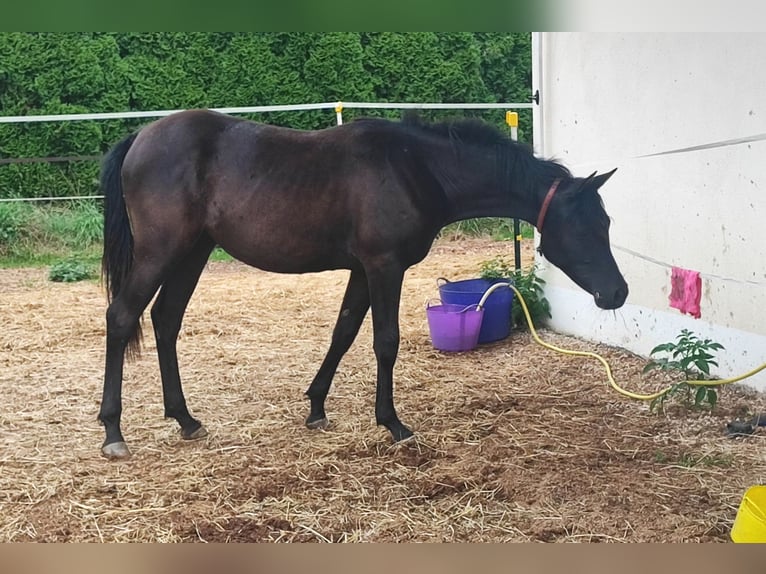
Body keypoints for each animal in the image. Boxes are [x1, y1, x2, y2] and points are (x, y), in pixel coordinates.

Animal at [97, 110, 632, 462]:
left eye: (607, 222)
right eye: (588, 225)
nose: (618, 294)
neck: (416, 167)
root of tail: (140, 136)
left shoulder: (361, 270)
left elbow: (344, 332)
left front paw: (316, 407)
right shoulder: (384, 267)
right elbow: (384, 342)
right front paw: (392, 422)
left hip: (193, 253)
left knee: (165, 320)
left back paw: (185, 419)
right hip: (162, 252)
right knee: (121, 317)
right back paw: (113, 432)